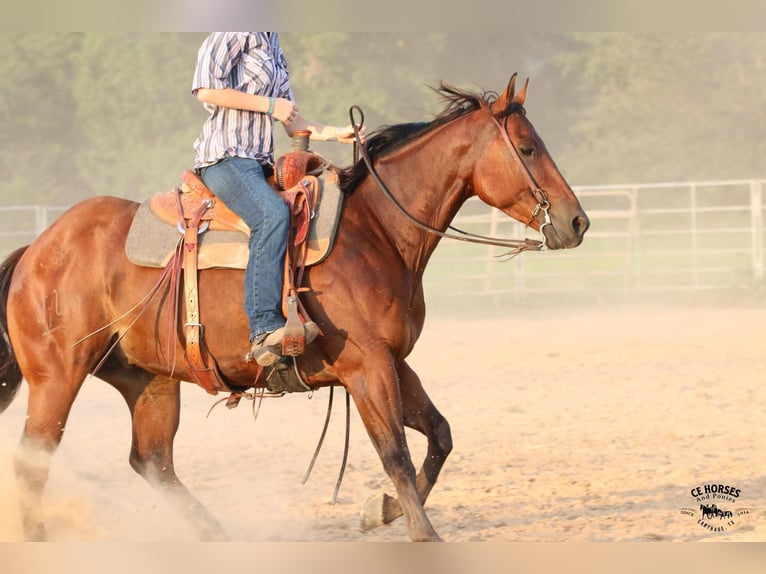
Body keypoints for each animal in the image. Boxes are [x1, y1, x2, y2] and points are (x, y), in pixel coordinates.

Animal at [0, 74, 592, 544]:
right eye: (529, 148)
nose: (577, 221)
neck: (375, 232)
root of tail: (37, 248)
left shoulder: (392, 362)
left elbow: (439, 435)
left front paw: (379, 511)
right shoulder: (367, 367)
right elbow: (395, 453)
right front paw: (422, 533)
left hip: (149, 380)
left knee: (152, 461)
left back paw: (216, 536)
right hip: (57, 377)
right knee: (35, 460)